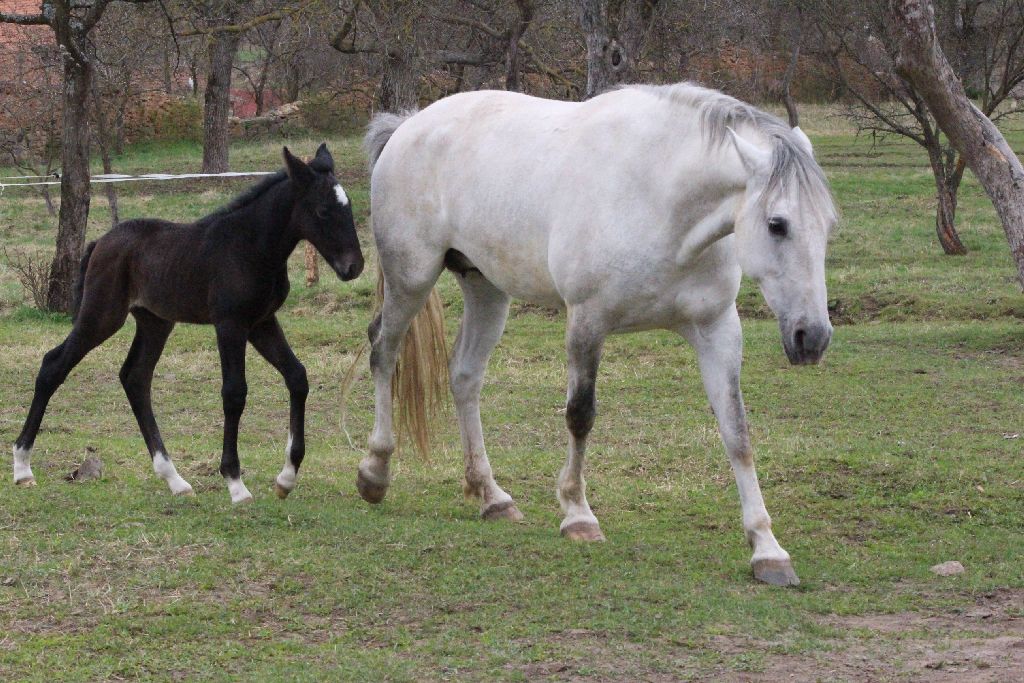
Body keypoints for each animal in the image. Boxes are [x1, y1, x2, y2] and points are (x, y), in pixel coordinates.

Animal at [354, 82, 831, 585]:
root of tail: (408, 126)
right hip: (411, 278)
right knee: (383, 352)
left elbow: (737, 432)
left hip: (485, 288)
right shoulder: (587, 321)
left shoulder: (717, 329)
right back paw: (375, 471)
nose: (812, 337)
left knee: (464, 377)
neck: (659, 197)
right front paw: (578, 515)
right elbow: (580, 415)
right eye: (777, 224)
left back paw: (492, 496)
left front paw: (767, 549)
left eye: (828, 226)